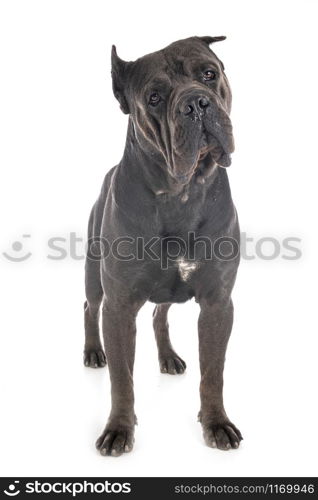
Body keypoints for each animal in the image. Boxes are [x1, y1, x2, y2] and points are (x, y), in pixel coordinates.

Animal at [83, 36, 242, 458]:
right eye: (154, 97)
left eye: (209, 73)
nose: (196, 103)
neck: (180, 193)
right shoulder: (119, 306)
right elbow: (122, 379)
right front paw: (118, 429)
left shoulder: (218, 303)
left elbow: (213, 373)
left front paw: (217, 423)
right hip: (93, 276)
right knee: (89, 307)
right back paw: (92, 352)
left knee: (159, 314)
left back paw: (168, 357)